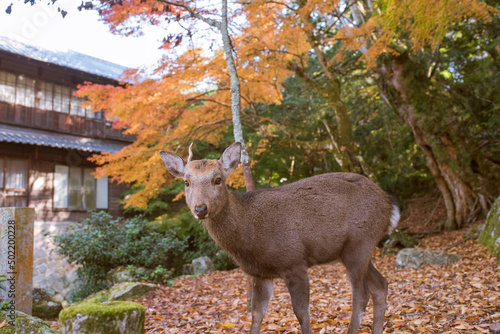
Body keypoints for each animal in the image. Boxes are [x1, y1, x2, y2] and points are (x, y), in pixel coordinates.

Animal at [160, 142, 398, 334]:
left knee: (362, 295)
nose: (200, 208)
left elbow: (302, 313)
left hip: (359, 243)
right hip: (355, 250)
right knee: (380, 285)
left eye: (218, 179)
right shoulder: (261, 273)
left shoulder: (294, 261)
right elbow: (257, 315)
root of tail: (389, 205)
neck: (249, 237)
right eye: (187, 182)